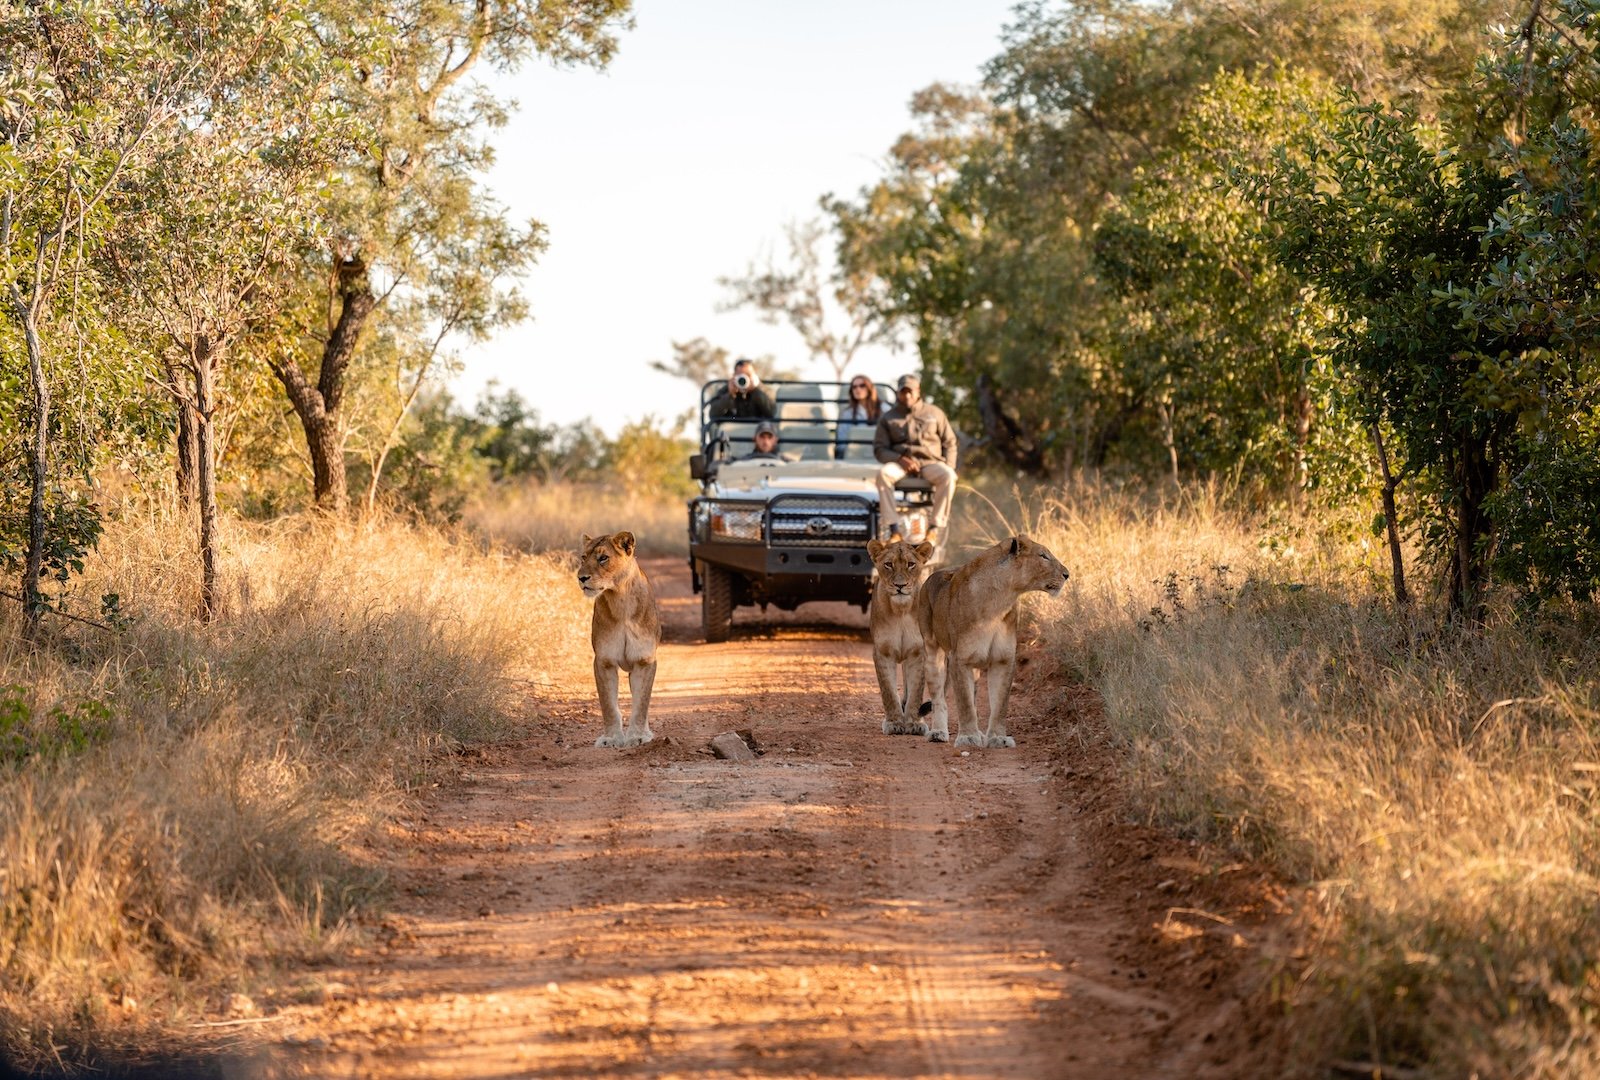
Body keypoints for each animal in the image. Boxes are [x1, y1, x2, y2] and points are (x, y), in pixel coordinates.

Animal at [577, 531, 661, 748]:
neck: (620, 599)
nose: (581, 577)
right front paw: (611, 738)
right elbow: (608, 704)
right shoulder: (603, 661)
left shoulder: (645, 661)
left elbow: (641, 703)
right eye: (583, 557)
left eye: (603, 558)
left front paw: (638, 736)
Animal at [866, 537, 937, 735]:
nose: (900, 586)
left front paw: (913, 722)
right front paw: (894, 722)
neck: (901, 611)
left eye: (911, 564)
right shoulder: (882, 652)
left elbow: (915, 691)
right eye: (888, 564)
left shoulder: (917, 653)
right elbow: (888, 691)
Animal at [915, 535, 1069, 748]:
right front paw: (968, 737)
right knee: (939, 698)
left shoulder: (1003, 660)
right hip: (932, 652)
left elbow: (999, 704)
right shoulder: (959, 659)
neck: (1000, 601)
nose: (1067, 574)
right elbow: (964, 703)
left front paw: (997, 738)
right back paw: (938, 732)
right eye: (1043, 556)